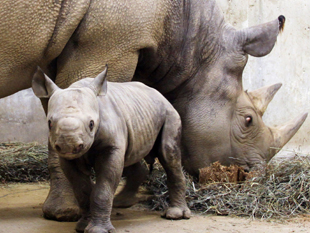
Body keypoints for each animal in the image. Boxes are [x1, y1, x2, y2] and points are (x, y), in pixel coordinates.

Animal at [32, 66, 190, 233]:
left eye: (91, 124)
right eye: (49, 123)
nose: (69, 145)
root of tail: (160, 95)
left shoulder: (111, 148)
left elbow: (103, 188)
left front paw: (97, 230)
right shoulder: (68, 158)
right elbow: (82, 189)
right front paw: (82, 226)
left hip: (169, 113)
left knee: (168, 155)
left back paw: (175, 215)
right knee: (130, 156)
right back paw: (122, 202)